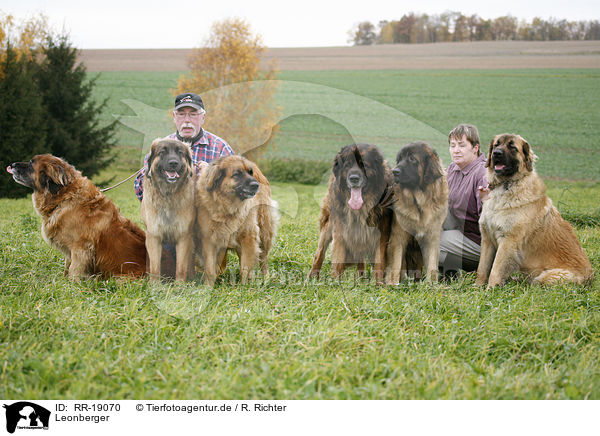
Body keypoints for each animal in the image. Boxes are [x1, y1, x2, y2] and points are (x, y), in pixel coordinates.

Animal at [8, 155, 148, 282]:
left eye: (31, 164)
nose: (12, 164)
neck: (65, 197)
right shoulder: (70, 252)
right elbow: (66, 267)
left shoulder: (80, 249)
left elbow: (73, 270)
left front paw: (72, 286)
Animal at [141, 138, 196, 282]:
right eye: (162, 152)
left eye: (180, 152)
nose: (173, 163)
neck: (168, 194)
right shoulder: (154, 235)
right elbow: (155, 266)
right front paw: (155, 284)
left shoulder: (184, 236)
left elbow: (181, 267)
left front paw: (180, 284)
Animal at [197, 155, 282, 284]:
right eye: (237, 174)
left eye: (250, 172)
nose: (256, 185)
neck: (227, 206)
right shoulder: (209, 239)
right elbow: (210, 268)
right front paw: (208, 286)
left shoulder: (249, 236)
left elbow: (246, 267)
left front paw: (244, 285)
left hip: (264, 232)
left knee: (263, 259)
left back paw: (265, 278)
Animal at [386, 141, 448, 284]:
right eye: (399, 159)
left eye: (412, 158)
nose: (394, 171)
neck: (419, 202)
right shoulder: (398, 237)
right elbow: (396, 263)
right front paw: (393, 284)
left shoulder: (432, 237)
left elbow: (432, 264)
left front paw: (431, 284)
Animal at [476, 135, 592, 288]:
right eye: (496, 145)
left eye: (512, 147)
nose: (496, 153)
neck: (505, 185)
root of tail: (591, 277)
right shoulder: (487, 239)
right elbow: (482, 268)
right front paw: (477, 287)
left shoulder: (508, 241)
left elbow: (495, 269)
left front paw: (490, 289)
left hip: (545, 277)